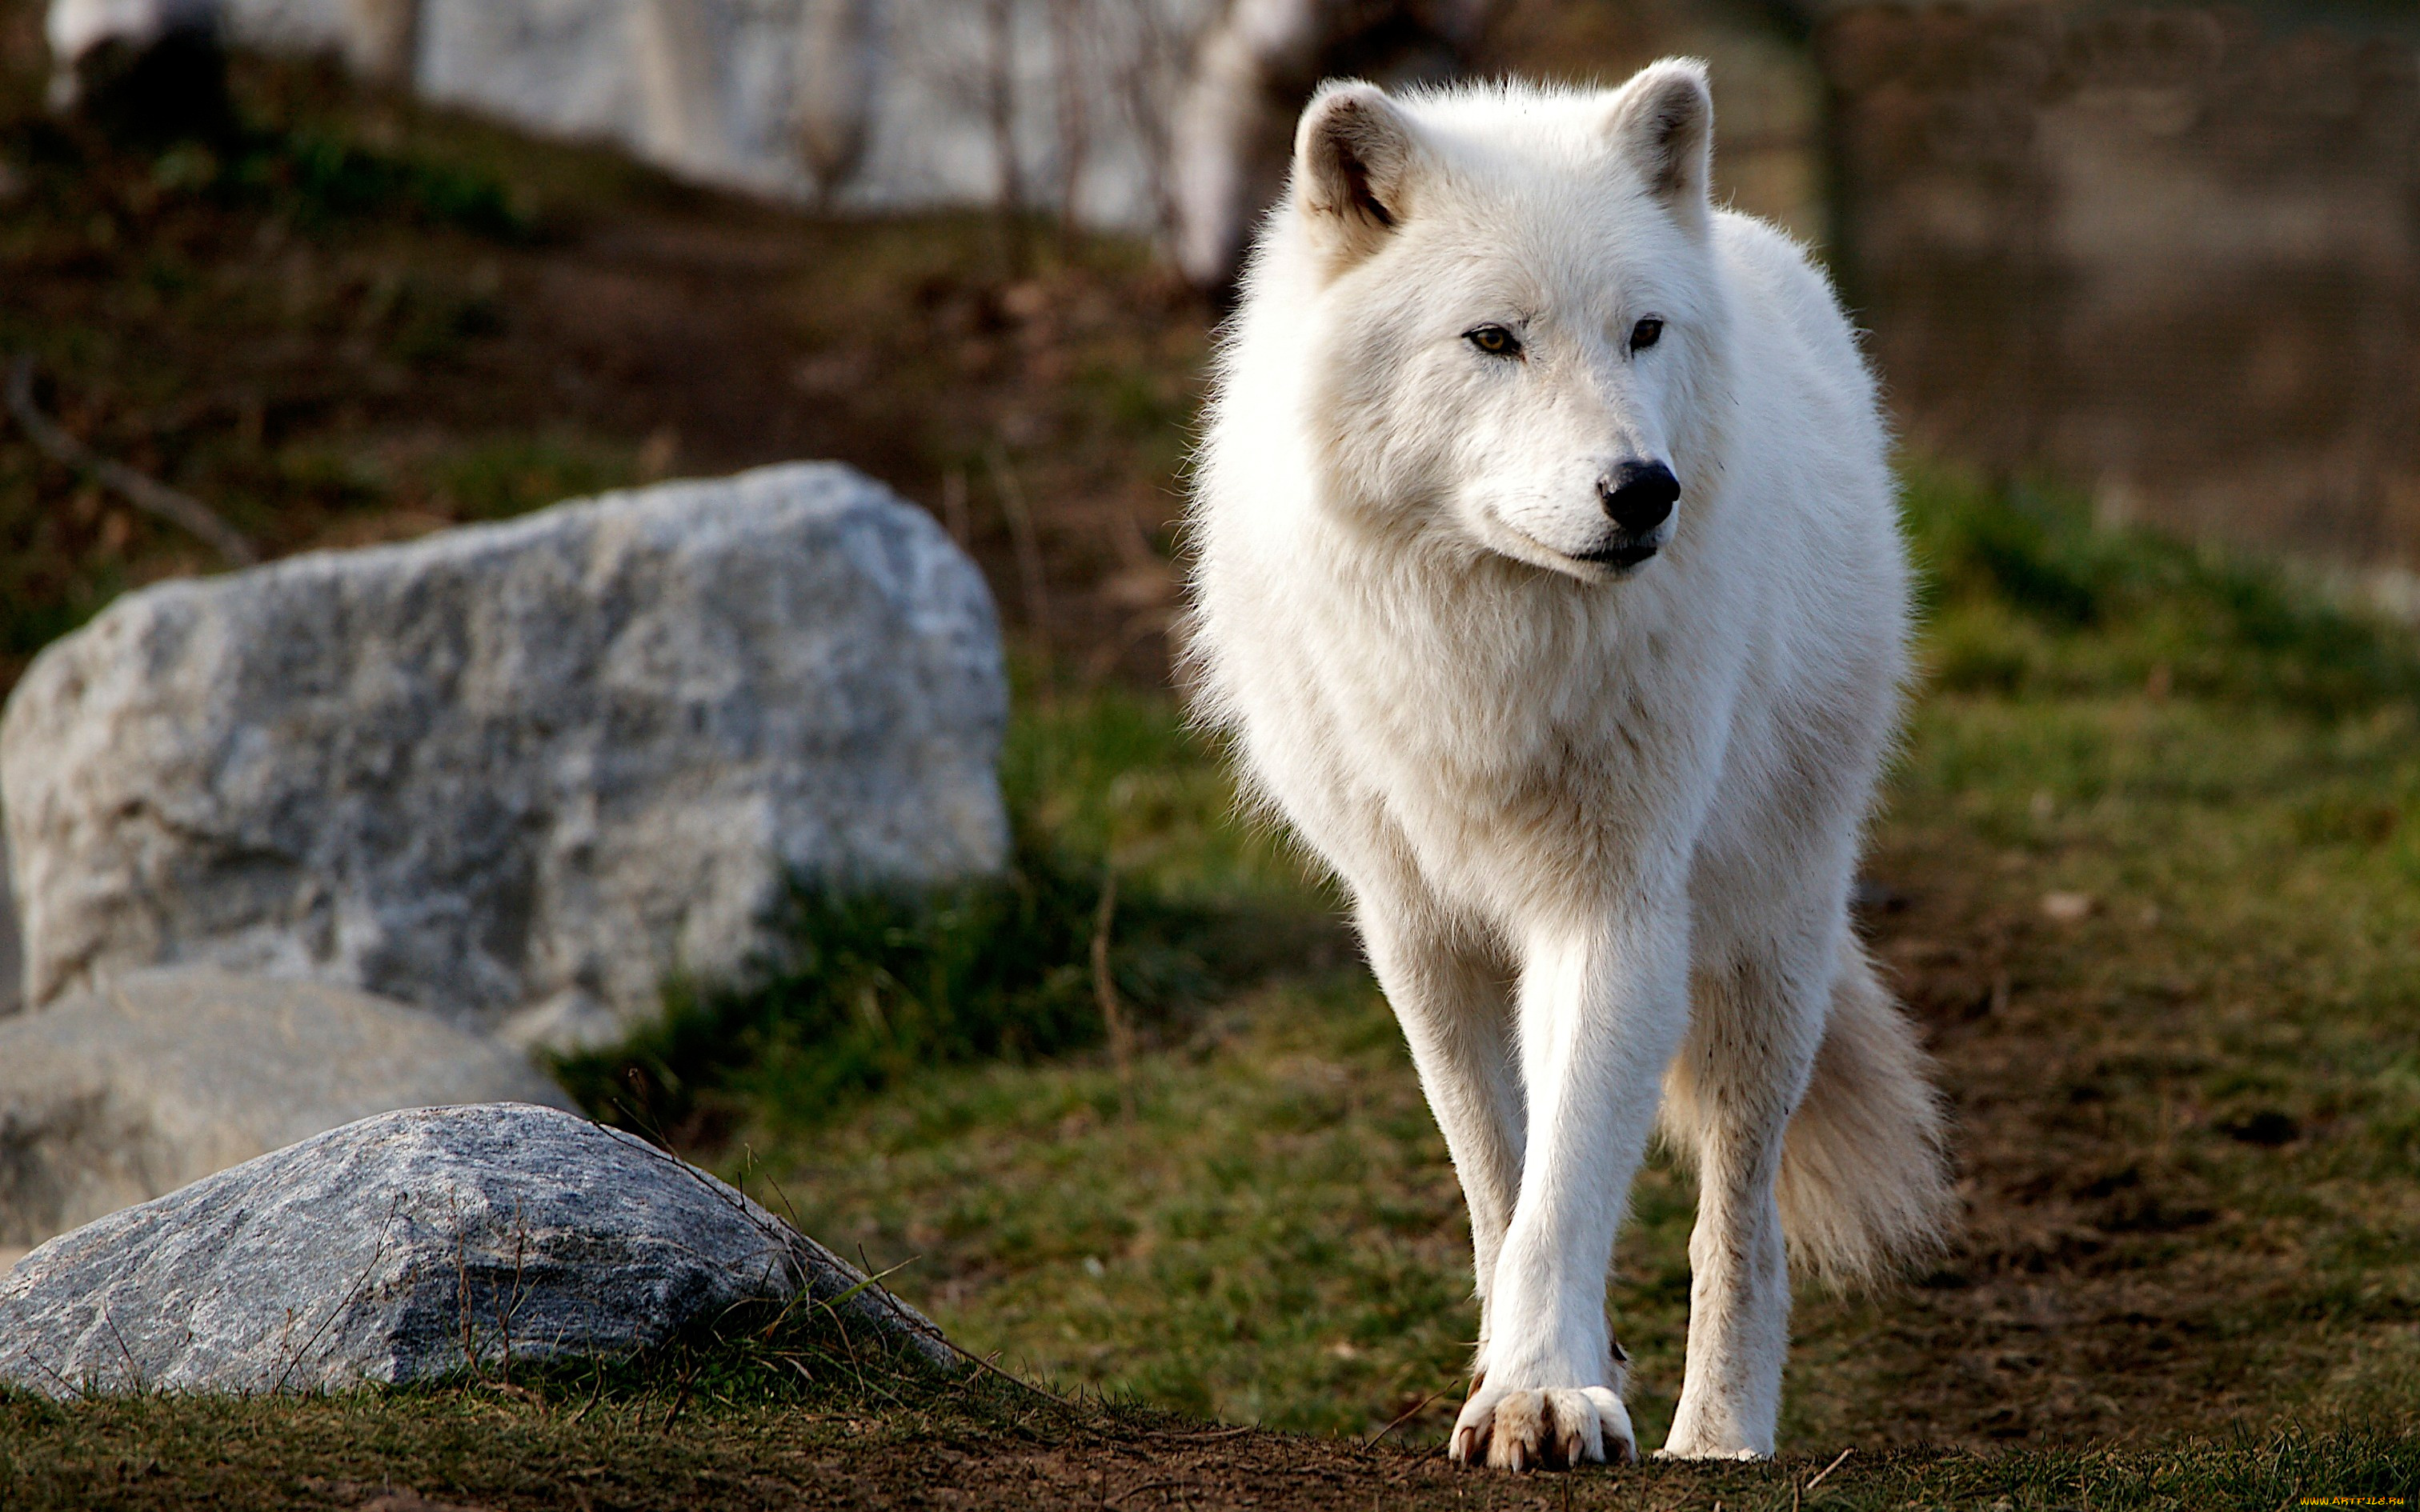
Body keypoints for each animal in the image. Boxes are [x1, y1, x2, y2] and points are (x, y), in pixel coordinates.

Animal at [1180, 64, 1955, 1470]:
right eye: (1495, 339)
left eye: (1642, 332)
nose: (1644, 490)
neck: (1489, 641)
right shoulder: (1416, 928)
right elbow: (1501, 1174)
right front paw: (1530, 1365)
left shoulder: (1611, 910)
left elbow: (1569, 1183)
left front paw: (1543, 1391)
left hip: (1771, 951)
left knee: (1741, 1223)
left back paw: (1720, 1439)